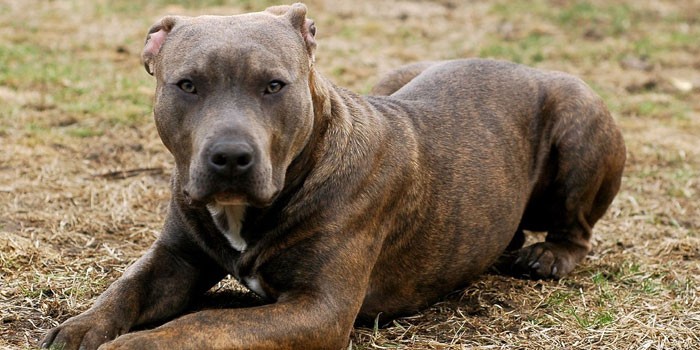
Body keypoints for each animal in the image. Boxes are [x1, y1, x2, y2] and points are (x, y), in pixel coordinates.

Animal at [42, 3, 624, 350]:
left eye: (274, 85)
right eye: (186, 85)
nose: (230, 156)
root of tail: (527, 68)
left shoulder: (319, 310)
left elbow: (204, 323)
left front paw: (134, 346)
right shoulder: (175, 257)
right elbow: (125, 290)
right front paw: (79, 329)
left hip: (579, 116)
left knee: (577, 228)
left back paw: (547, 255)